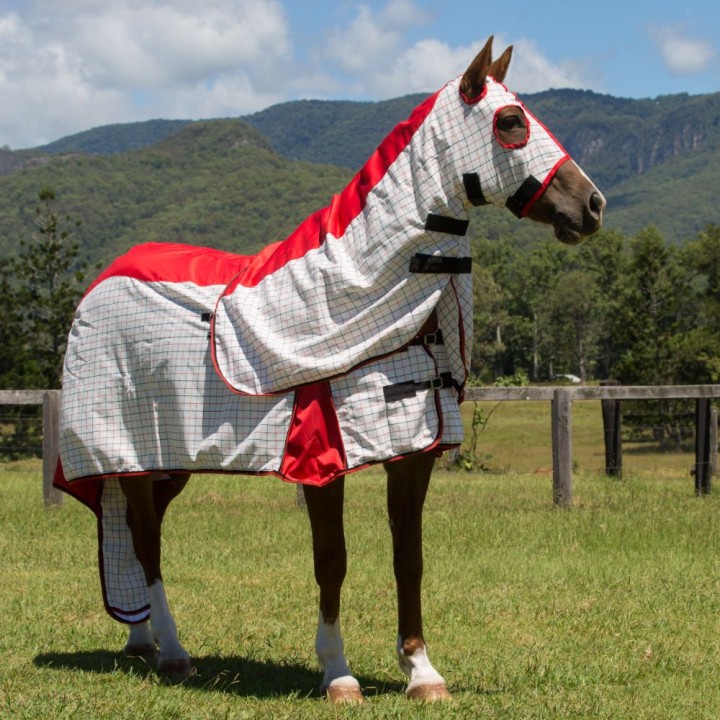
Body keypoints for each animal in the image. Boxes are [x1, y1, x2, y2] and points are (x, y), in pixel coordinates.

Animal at [54, 37, 605, 703]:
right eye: (510, 121)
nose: (593, 206)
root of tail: (102, 281)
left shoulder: (414, 451)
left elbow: (409, 556)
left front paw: (422, 671)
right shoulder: (321, 457)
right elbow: (332, 560)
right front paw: (338, 673)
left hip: (164, 459)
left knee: (138, 534)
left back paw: (143, 641)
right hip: (126, 450)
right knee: (146, 538)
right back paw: (174, 654)